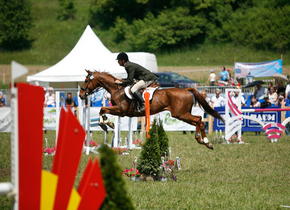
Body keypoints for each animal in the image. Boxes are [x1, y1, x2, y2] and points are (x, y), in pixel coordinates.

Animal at [78, 70, 224, 149]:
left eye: (86, 80)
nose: (80, 95)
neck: (116, 89)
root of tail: (186, 89)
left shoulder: (121, 110)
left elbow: (102, 109)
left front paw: (105, 124)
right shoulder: (119, 110)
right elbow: (103, 110)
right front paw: (108, 123)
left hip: (180, 114)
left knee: (198, 119)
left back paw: (203, 140)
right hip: (182, 114)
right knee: (199, 120)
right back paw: (205, 142)